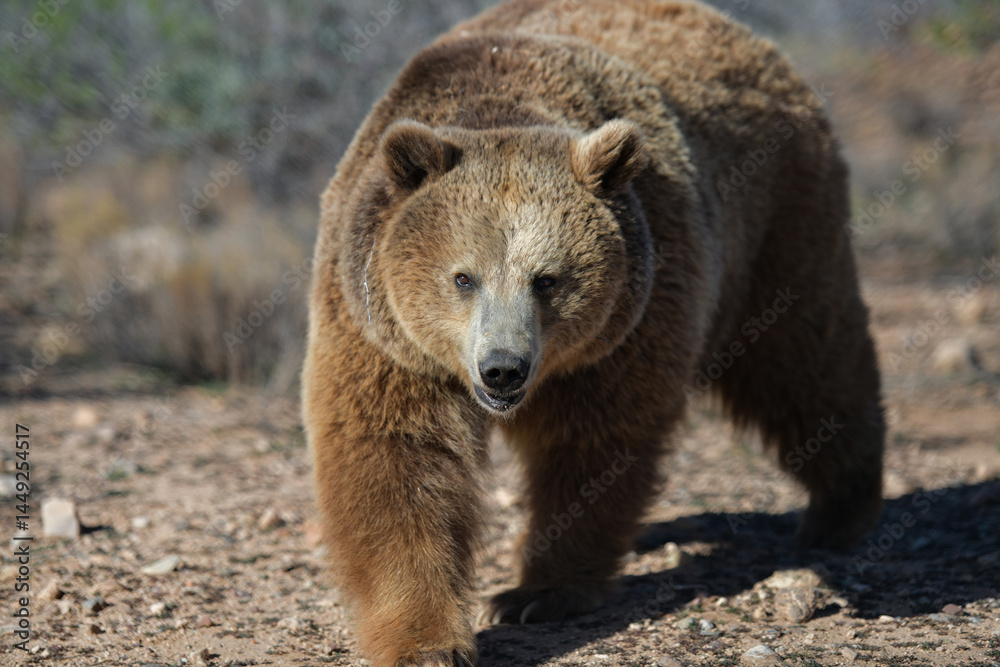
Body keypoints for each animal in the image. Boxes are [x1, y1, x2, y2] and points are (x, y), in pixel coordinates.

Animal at [302, 1, 885, 665]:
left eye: (547, 279)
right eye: (463, 277)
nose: (502, 368)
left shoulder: (628, 322)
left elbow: (593, 446)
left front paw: (537, 592)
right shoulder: (383, 332)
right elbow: (396, 458)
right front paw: (428, 642)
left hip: (775, 220)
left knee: (804, 355)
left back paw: (841, 506)